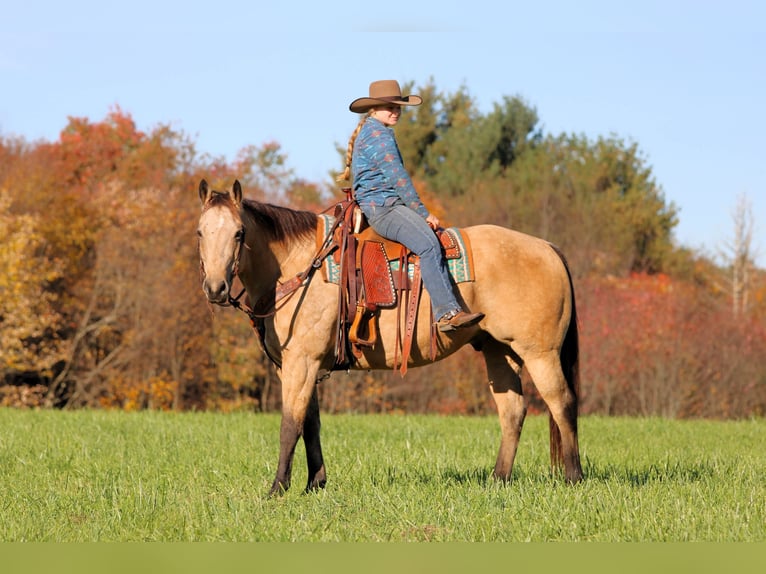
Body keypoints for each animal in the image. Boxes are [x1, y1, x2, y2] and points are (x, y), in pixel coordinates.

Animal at [196, 179, 583, 496]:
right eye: (200, 232)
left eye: (239, 233)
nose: (215, 288)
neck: (298, 265)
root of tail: (547, 247)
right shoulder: (299, 366)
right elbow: (311, 423)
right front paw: (315, 484)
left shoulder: (301, 363)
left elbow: (289, 425)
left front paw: (277, 489)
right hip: (499, 351)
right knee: (513, 411)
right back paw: (498, 479)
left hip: (540, 353)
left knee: (562, 403)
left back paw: (573, 477)